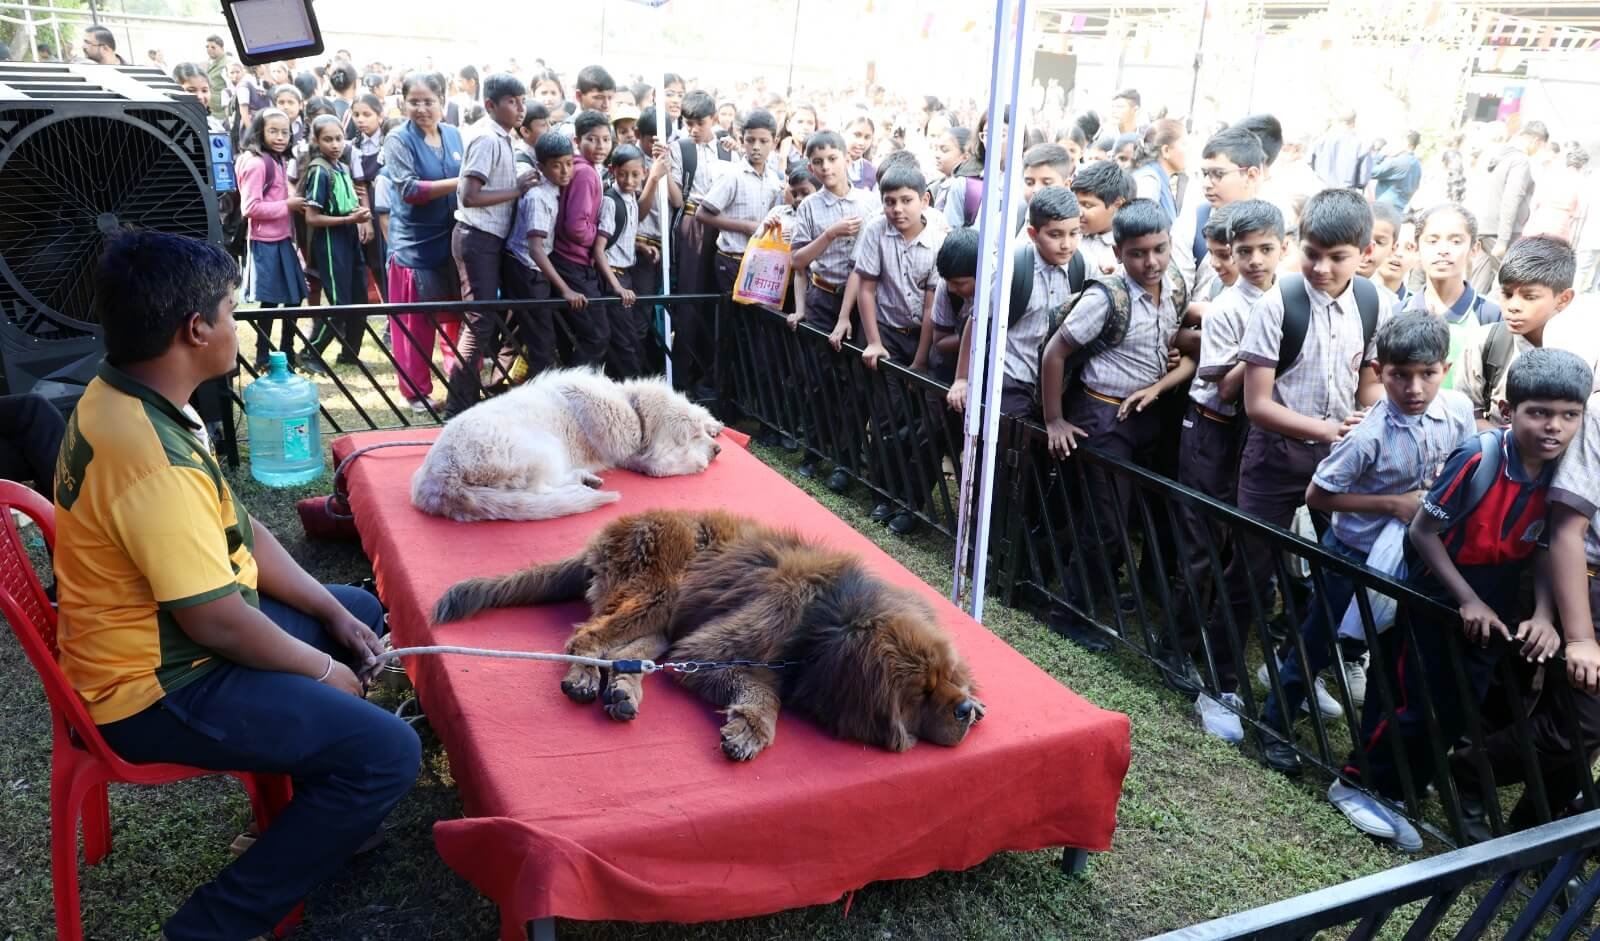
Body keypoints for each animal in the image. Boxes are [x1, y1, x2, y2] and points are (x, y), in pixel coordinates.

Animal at [410, 369, 723, 522]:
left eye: (698, 431)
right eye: (690, 436)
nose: (717, 450)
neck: (631, 411)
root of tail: (440, 481)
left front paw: (713, 425)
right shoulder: (631, 455)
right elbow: (658, 466)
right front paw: (697, 461)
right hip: (543, 448)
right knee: (543, 488)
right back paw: (582, 485)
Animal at [433, 509, 983, 760]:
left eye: (950, 676)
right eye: (920, 692)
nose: (964, 711)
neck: (831, 619)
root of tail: (607, 533)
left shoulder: (696, 646)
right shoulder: (710, 650)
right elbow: (765, 691)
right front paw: (753, 728)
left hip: (664, 617)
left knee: (630, 653)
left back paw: (623, 690)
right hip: (659, 591)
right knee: (586, 638)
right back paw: (587, 676)